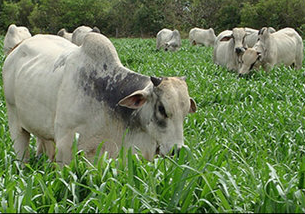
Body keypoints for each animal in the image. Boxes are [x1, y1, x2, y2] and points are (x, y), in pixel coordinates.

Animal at [1, 32, 197, 166]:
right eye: (162, 109)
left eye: (185, 113)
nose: (177, 151)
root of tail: (17, 48)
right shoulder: (65, 147)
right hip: (15, 121)